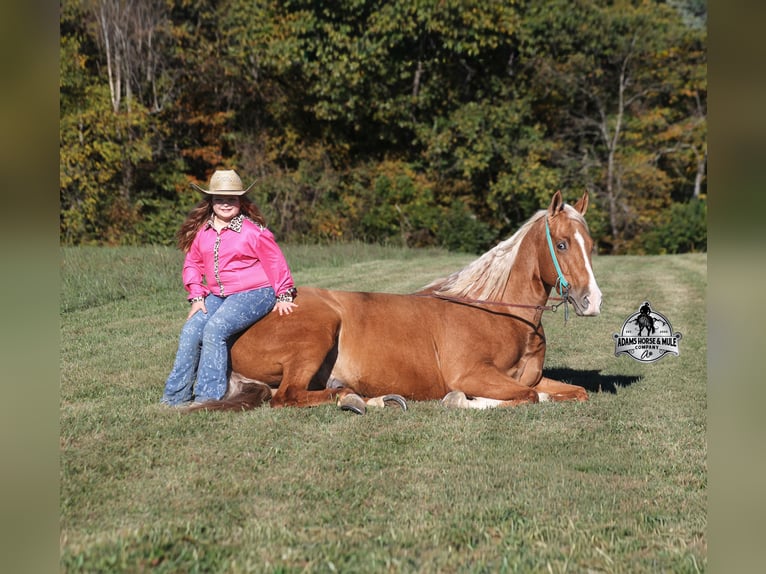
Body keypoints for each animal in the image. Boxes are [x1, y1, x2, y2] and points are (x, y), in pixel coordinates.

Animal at [189, 190, 602, 414]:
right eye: (561, 244)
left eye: (591, 244)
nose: (592, 301)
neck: (497, 314)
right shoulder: (472, 375)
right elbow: (529, 397)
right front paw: (458, 401)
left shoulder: (530, 378)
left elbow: (572, 392)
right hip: (316, 335)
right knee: (289, 397)